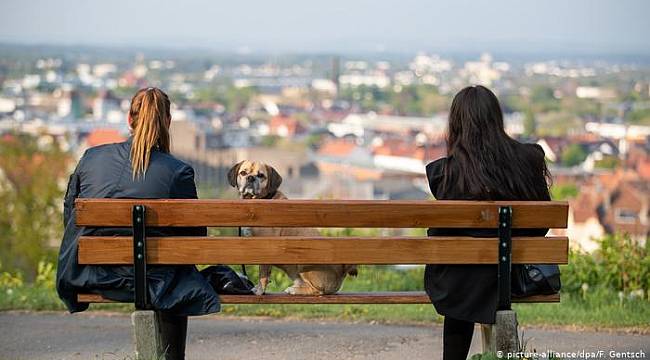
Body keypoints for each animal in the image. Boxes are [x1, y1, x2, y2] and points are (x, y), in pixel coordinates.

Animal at [228, 161, 356, 296]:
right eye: (243, 173)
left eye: (261, 175)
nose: (250, 178)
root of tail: (341, 272)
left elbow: (263, 273)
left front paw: (259, 291)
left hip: (304, 265)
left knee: (318, 291)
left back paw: (295, 290)